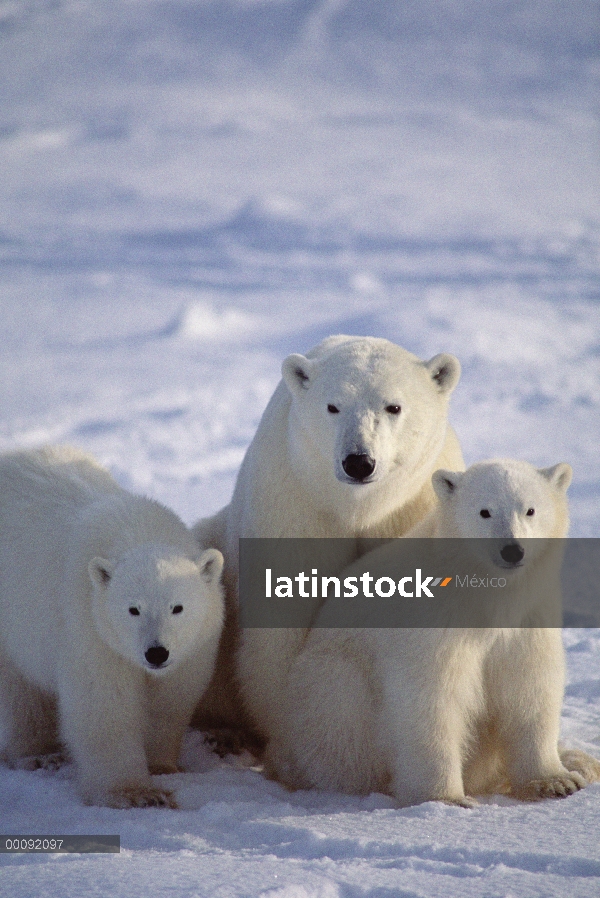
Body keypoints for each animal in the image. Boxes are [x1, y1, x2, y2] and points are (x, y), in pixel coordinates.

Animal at [0, 446, 224, 804]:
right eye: (133, 609)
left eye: (178, 607)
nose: (156, 653)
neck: (139, 530)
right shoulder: (91, 627)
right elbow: (105, 704)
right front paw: (135, 793)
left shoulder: (195, 646)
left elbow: (169, 701)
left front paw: (162, 765)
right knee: (22, 690)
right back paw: (39, 754)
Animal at [195, 332, 466, 740]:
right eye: (333, 406)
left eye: (393, 406)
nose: (359, 462)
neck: (357, 508)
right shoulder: (297, 507)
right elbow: (283, 622)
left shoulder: (411, 508)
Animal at [264, 458, 596, 800]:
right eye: (484, 511)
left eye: (530, 509)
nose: (512, 550)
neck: (485, 594)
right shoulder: (436, 622)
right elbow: (431, 696)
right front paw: (445, 798)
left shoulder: (527, 620)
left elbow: (529, 685)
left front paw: (556, 781)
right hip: (330, 686)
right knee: (339, 717)